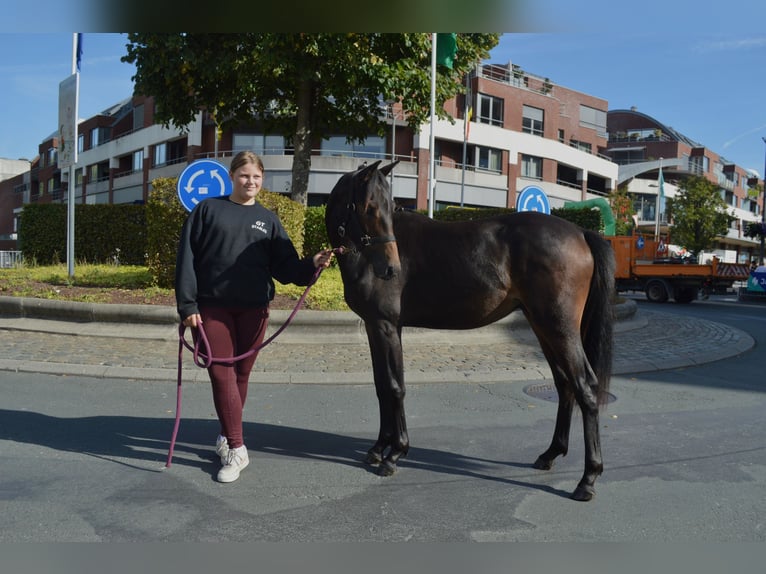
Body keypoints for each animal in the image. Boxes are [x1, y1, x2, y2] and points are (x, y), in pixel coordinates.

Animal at [324, 161, 616, 501]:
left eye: (390, 207)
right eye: (371, 208)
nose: (390, 269)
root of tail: (581, 232)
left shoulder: (387, 327)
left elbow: (396, 387)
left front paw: (395, 453)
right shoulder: (375, 327)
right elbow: (382, 385)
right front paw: (378, 448)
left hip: (560, 329)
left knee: (585, 387)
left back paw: (588, 479)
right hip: (543, 327)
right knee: (565, 384)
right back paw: (550, 454)